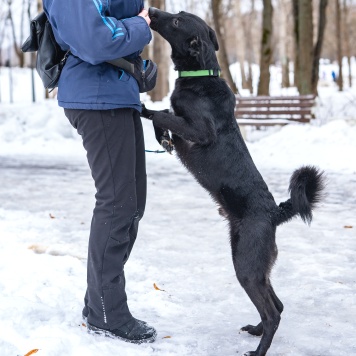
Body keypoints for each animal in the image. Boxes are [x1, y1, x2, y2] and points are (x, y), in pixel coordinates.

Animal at [140, 8, 324, 356]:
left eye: (176, 21)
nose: (153, 12)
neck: (201, 74)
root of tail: (274, 214)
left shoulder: (199, 131)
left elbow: (162, 112)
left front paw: (148, 114)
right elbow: (165, 112)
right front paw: (161, 136)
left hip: (246, 267)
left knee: (272, 312)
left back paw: (260, 348)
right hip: (251, 262)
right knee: (277, 307)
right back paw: (255, 331)